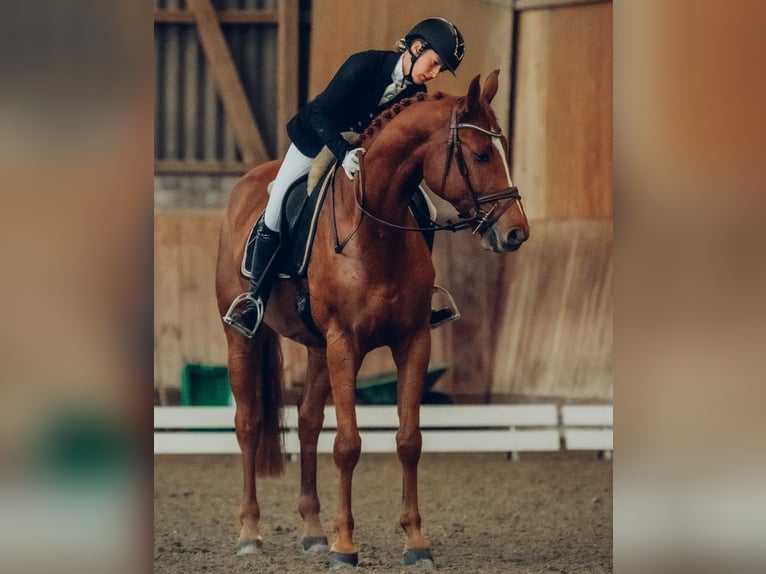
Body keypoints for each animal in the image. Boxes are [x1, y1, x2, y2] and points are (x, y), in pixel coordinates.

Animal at [215, 69, 529, 568]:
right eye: (481, 154)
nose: (516, 233)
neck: (376, 226)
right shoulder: (345, 343)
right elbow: (348, 445)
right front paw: (345, 547)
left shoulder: (413, 341)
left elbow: (408, 440)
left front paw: (416, 542)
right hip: (243, 339)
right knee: (247, 424)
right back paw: (250, 532)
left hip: (317, 348)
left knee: (308, 423)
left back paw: (312, 531)